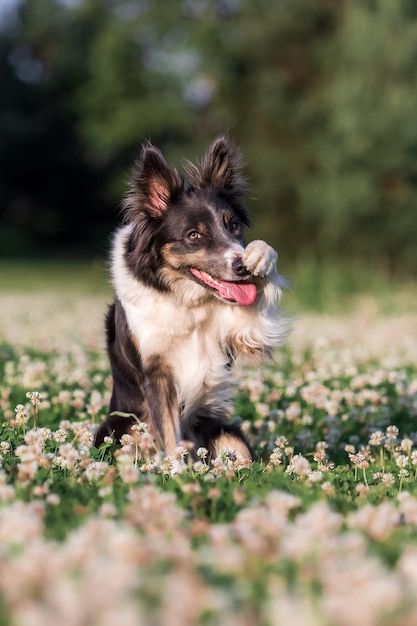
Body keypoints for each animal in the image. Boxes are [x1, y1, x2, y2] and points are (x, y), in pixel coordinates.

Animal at [94, 136, 286, 458]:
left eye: (234, 226)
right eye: (194, 235)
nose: (241, 268)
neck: (187, 299)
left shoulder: (246, 332)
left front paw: (261, 256)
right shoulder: (156, 372)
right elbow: (170, 437)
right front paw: (175, 469)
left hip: (225, 432)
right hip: (121, 428)